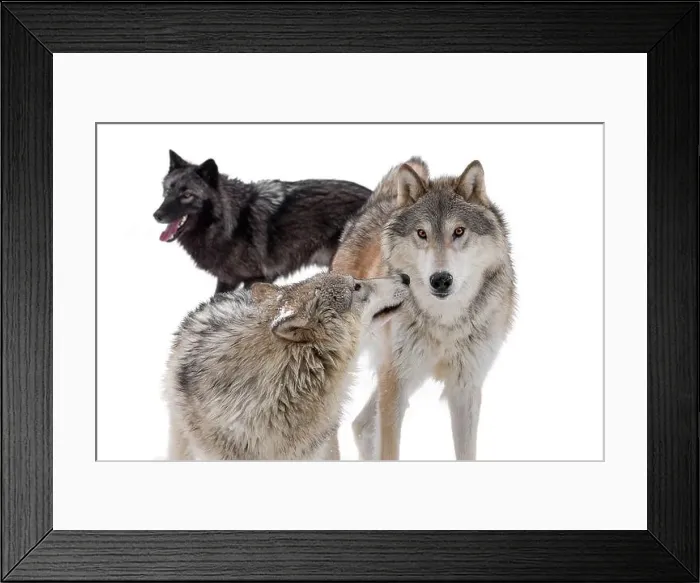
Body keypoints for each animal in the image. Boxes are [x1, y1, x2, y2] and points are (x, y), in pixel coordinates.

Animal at [153, 150, 372, 294]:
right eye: (167, 190)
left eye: (187, 195)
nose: (156, 215)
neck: (232, 222)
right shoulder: (227, 279)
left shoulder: (256, 279)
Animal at [331, 157, 516, 460]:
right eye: (421, 233)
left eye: (459, 231)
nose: (440, 279)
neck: (445, 321)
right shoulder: (396, 381)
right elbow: (389, 452)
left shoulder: (465, 386)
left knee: (362, 425)